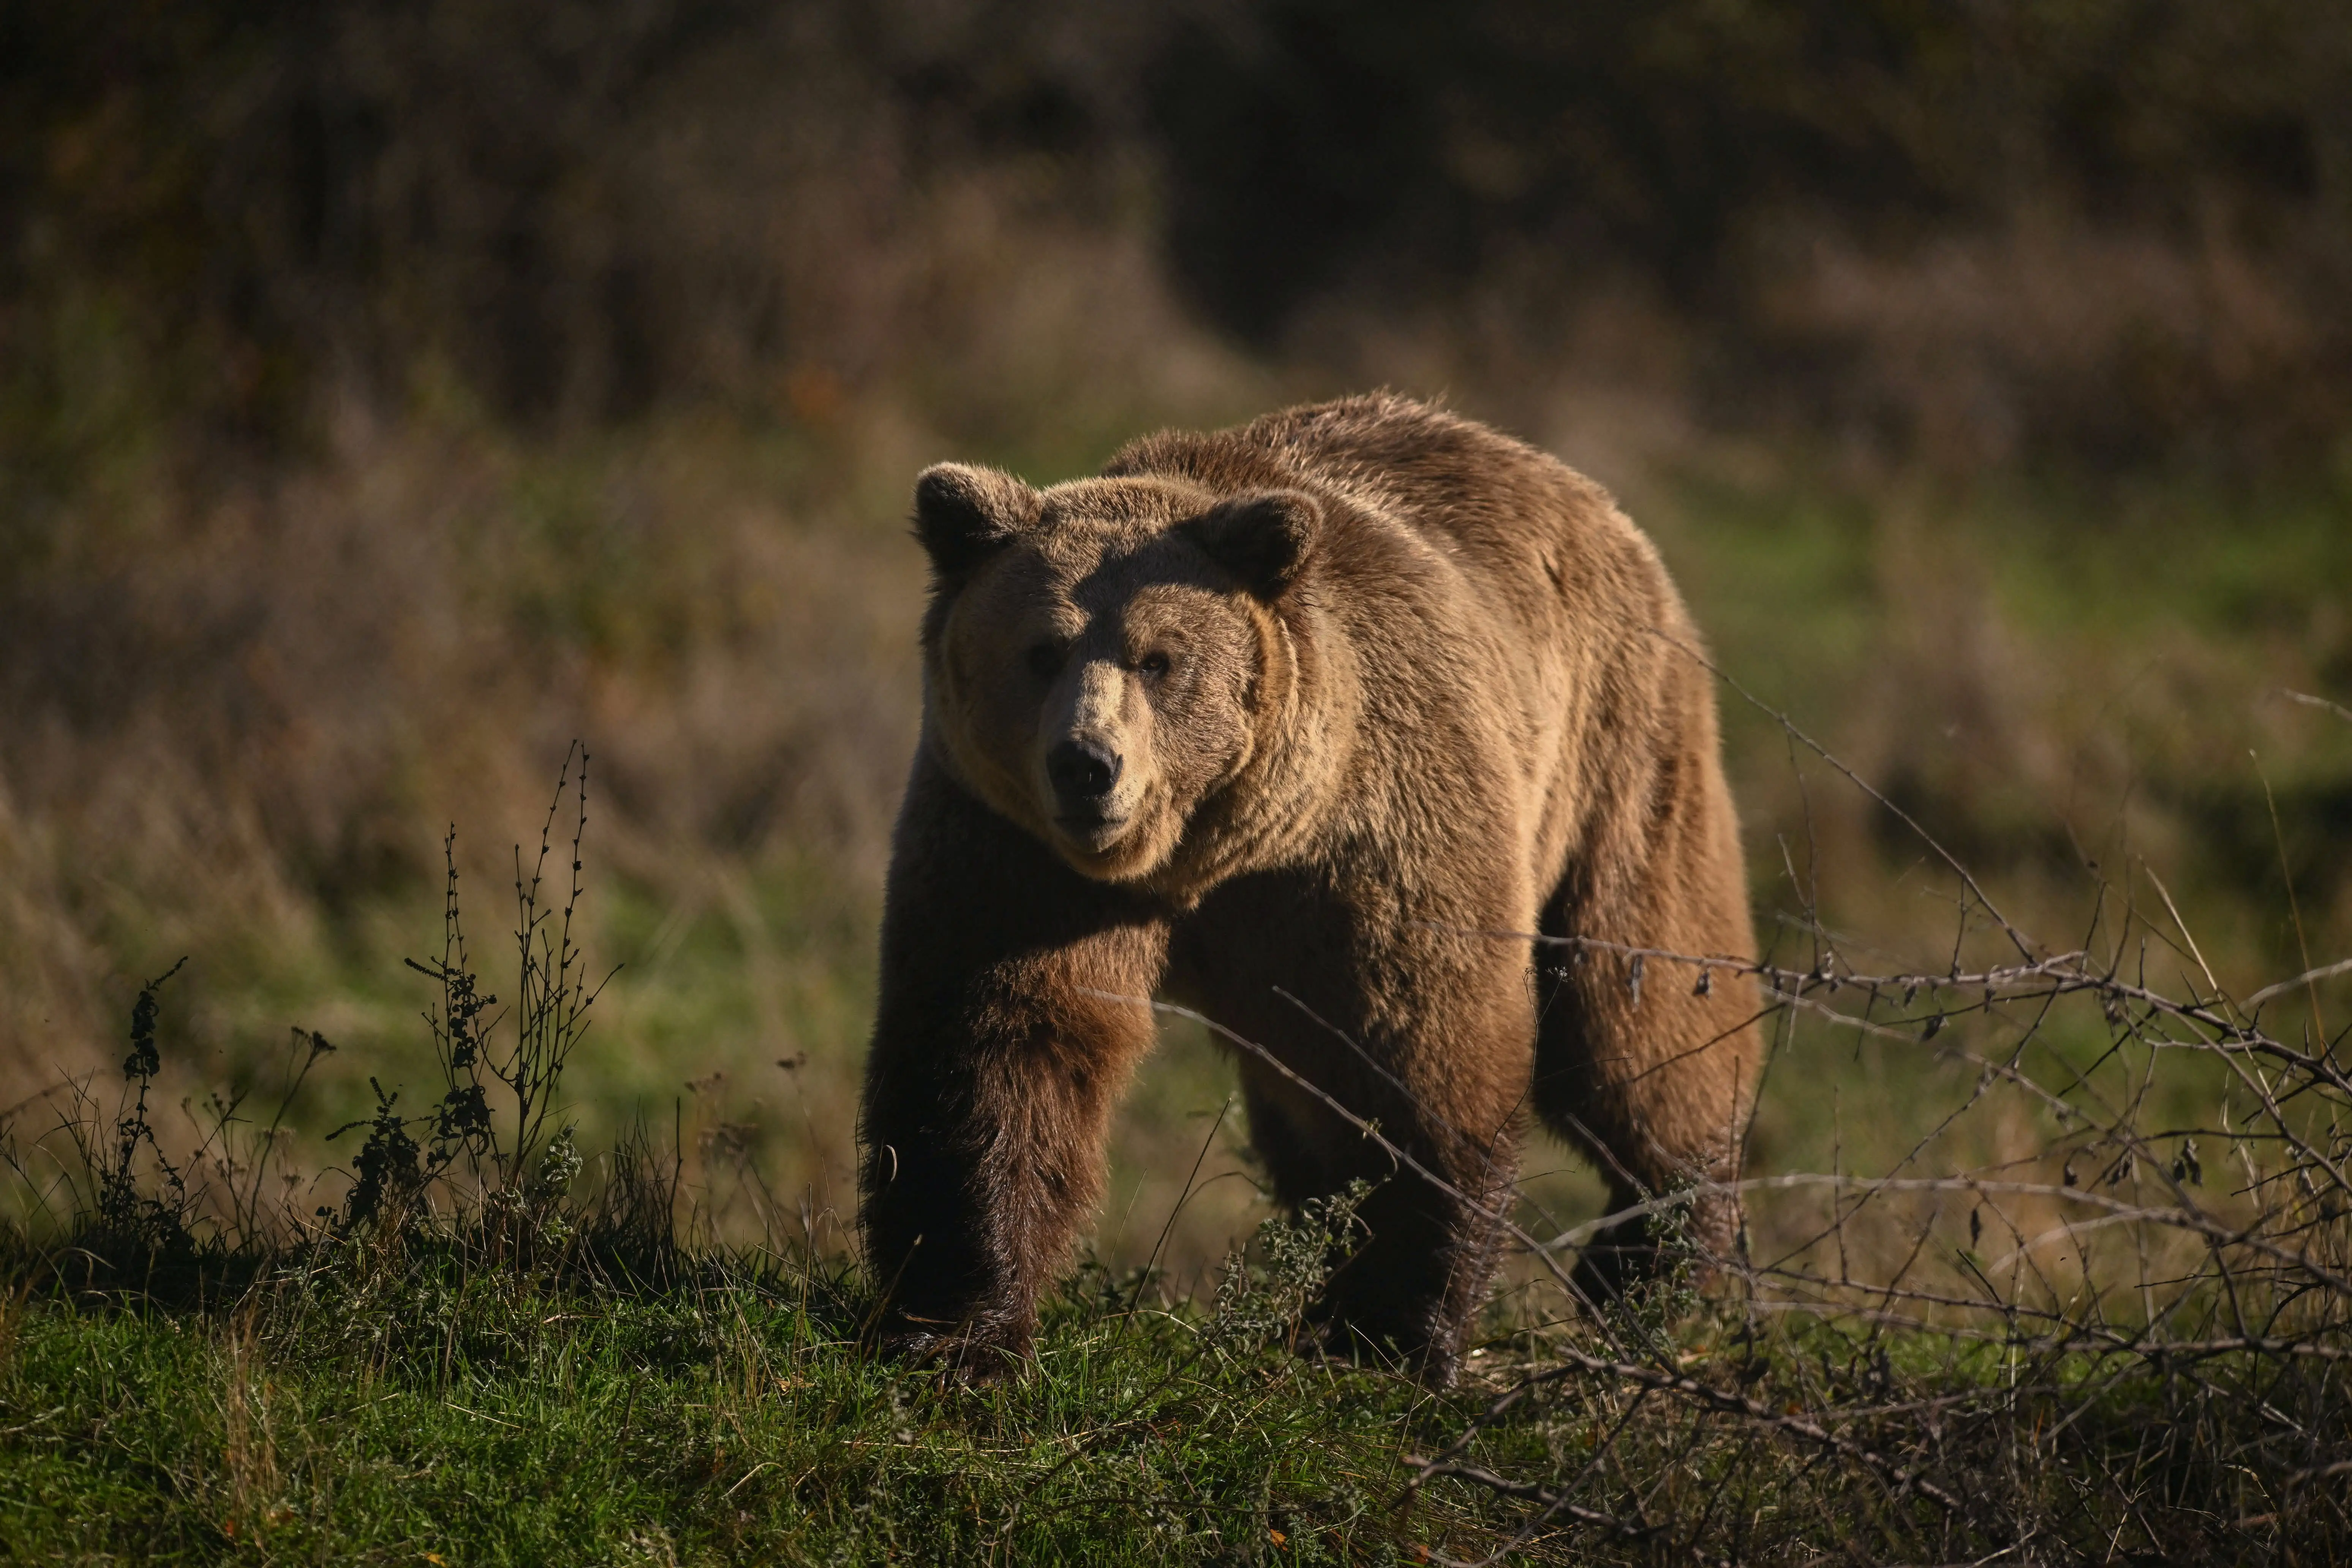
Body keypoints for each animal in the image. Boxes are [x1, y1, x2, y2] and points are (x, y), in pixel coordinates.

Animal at [857, 394, 1760, 1384]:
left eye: (1158, 658)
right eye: (1040, 651)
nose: (1086, 764)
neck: (1206, 851)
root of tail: (1584, 494)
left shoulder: (1371, 844)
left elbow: (1421, 1054)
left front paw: (1390, 1327)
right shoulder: (1015, 847)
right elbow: (999, 1044)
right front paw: (955, 1325)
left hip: (1617, 762)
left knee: (1638, 1015)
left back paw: (1651, 1259)